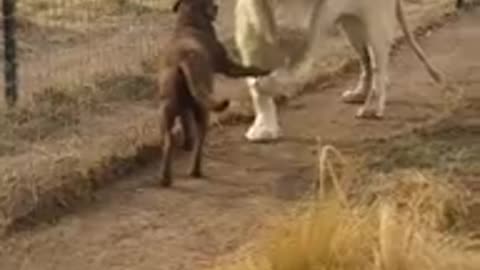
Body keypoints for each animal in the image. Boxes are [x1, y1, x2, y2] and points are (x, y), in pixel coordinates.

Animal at [158, 0, 270, 187]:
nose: (217, 6)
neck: (189, 23)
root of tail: (184, 60)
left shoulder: (184, 109)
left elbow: (186, 124)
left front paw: (186, 143)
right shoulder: (228, 66)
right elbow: (248, 69)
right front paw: (264, 70)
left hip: (167, 111)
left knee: (169, 143)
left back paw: (166, 178)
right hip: (203, 111)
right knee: (199, 143)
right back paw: (196, 171)